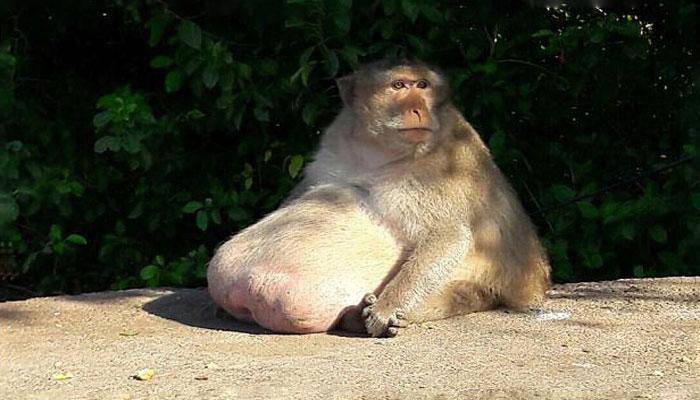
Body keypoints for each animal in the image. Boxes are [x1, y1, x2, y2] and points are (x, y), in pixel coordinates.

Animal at [207, 59, 551, 337]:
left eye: (422, 85)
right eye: (399, 85)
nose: (418, 108)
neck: (377, 151)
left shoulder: (442, 169)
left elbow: (449, 235)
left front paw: (386, 309)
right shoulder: (335, 141)